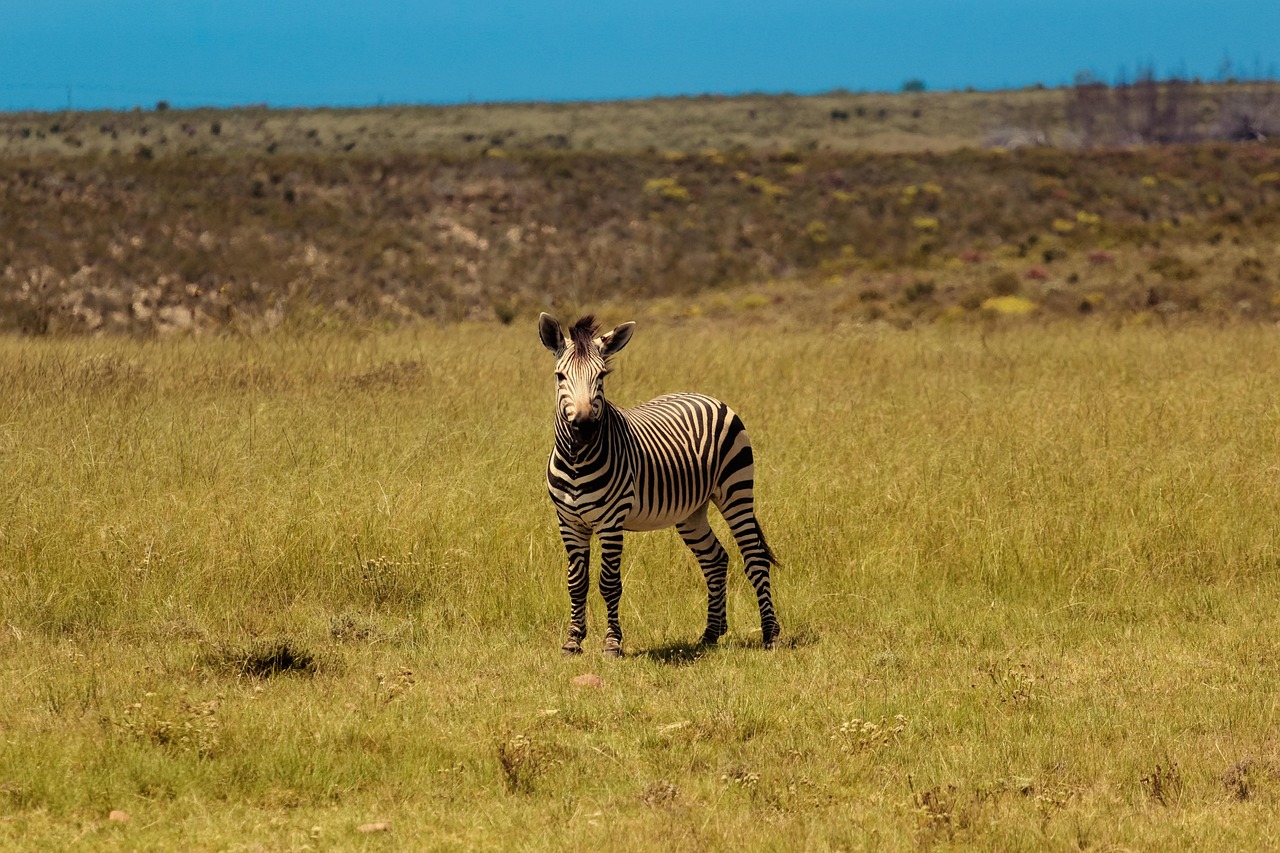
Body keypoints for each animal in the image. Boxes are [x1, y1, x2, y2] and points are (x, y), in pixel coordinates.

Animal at [538, 313, 780, 656]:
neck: (576, 461)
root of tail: (706, 396)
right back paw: (710, 633)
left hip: (736, 491)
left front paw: (612, 643)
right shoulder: (569, 522)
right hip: (691, 511)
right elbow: (576, 582)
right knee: (715, 558)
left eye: (601, 377)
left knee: (755, 558)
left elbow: (609, 582)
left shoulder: (611, 522)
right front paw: (573, 640)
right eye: (560, 376)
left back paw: (770, 634)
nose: (584, 427)